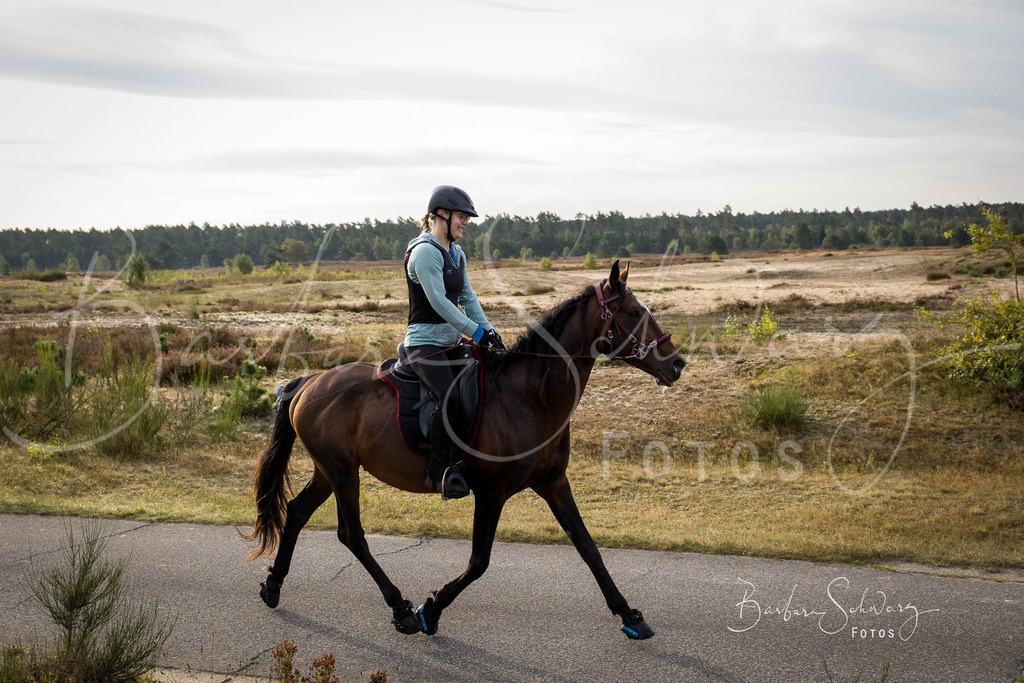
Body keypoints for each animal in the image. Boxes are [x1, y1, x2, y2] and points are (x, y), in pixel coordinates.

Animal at [245, 259, 686, 639]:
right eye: (633, 311)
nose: (677, 364)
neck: (530, 396)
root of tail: (309, 382)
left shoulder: (554, 483)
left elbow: (588, 548)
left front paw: (629, 615)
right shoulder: (491, 492)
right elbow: (479, 562)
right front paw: (431, 608)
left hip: (329, 470)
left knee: (298, 512)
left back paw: (273, 586)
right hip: (341, 472)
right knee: (352, 534)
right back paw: (401, 609)